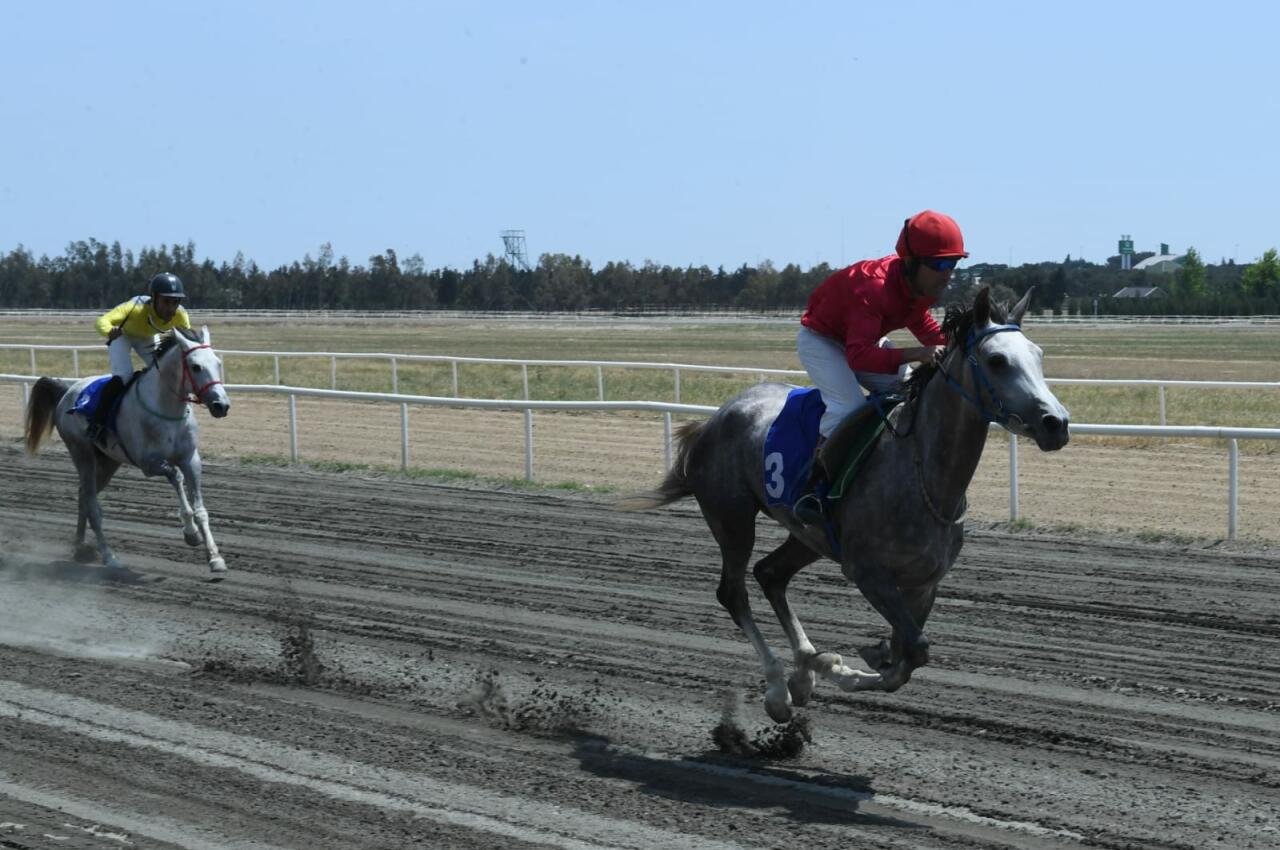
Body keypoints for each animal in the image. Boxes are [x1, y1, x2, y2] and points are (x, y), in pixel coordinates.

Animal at [24, 326, 232, 574]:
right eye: (196, 366)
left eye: (217, 363)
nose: (221, 405)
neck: (167, 410)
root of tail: (67, 390)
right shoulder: (148, 463)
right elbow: (176, 476)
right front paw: (190, 533)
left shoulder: (191, 459)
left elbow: (200, 509)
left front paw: (215, 558)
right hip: (81, 453)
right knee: (92, 503)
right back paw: (109, 556)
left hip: (108, 462)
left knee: (83, 495)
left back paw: (80, 548)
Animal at [619, 287, 1070, 722]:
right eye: (996, 360)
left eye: (1039, 355)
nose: (1057, 423)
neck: (924, 477)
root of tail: (715, 417)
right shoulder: (868, 572)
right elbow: (913, 651)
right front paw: (840, 667)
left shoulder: (925, 583)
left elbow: (906, 655)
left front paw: (843, 662)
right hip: (731, 518)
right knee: (733, 591)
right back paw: (779, 689)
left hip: (808, 536)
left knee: (770, 574)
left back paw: (803, 669)